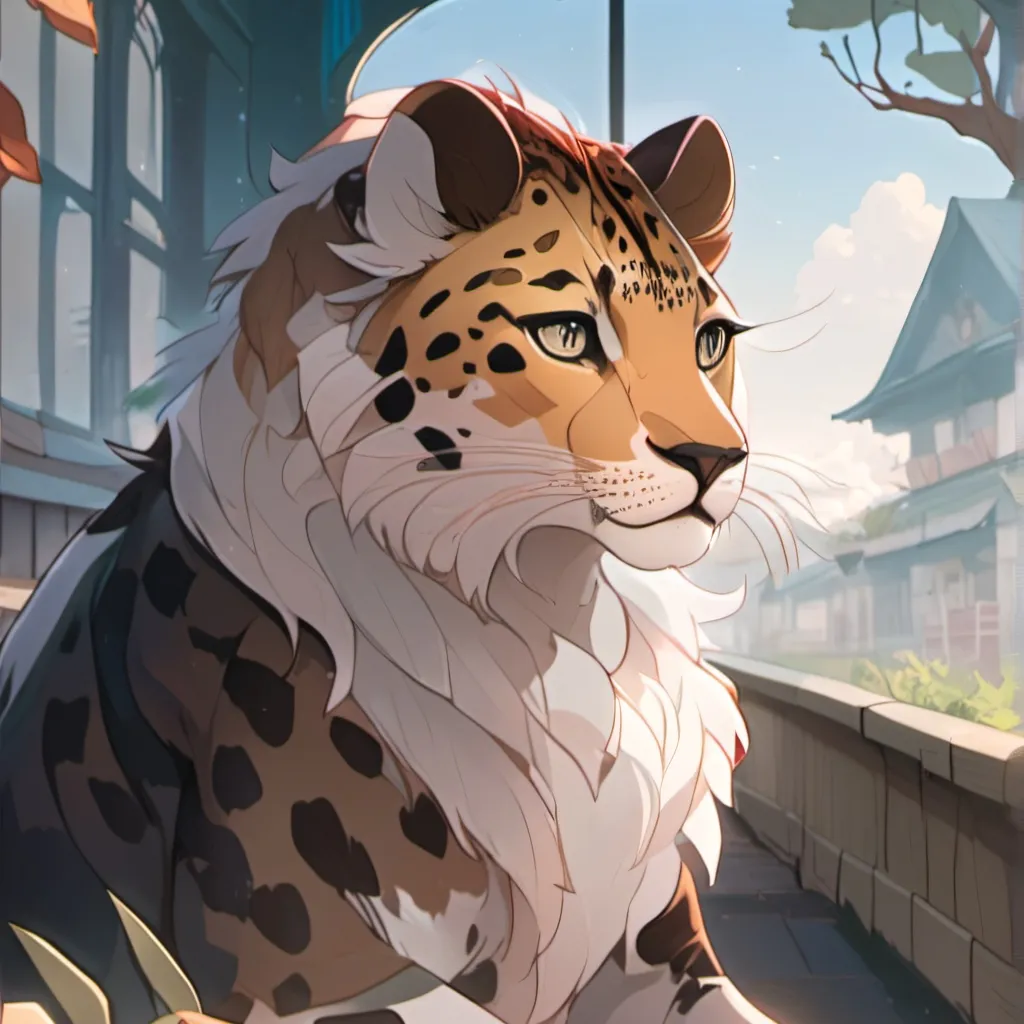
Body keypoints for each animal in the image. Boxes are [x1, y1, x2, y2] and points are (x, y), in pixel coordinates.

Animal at [0, 78, 781, 1024]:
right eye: (566, 334)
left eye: (710, 342)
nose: (715, 458)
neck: (549, 603)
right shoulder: (295, 979)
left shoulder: (658, 950)